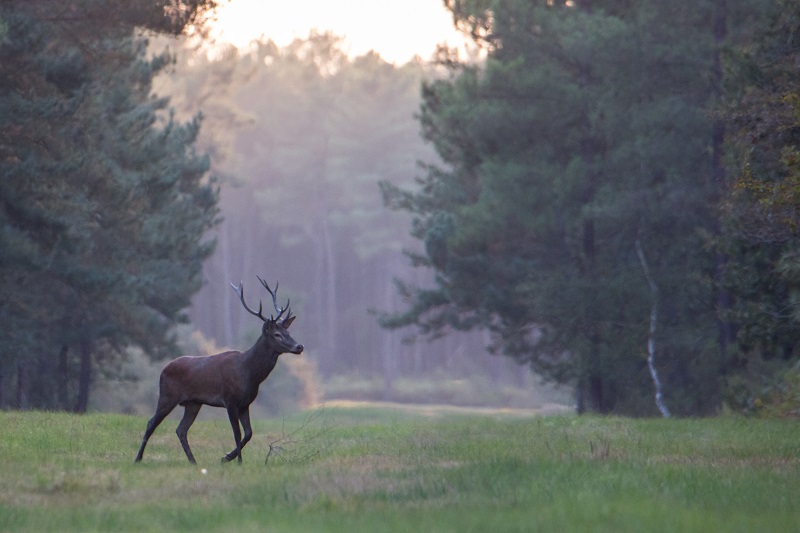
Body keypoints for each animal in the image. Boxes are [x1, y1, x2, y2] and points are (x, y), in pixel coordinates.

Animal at [134, 276, 304, 464]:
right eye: (277, 334)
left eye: (288, 332)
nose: (299, 346)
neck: (249, 373)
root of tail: (163, 369)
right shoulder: (229, 400)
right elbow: (237, 434)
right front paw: (237, 461)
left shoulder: (245, 403)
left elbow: (249, 433)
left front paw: (227, 457)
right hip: (167, 396)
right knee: (151, 422)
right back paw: (138, 458)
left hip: (193, 403)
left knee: (181, 429)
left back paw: (193, 461)